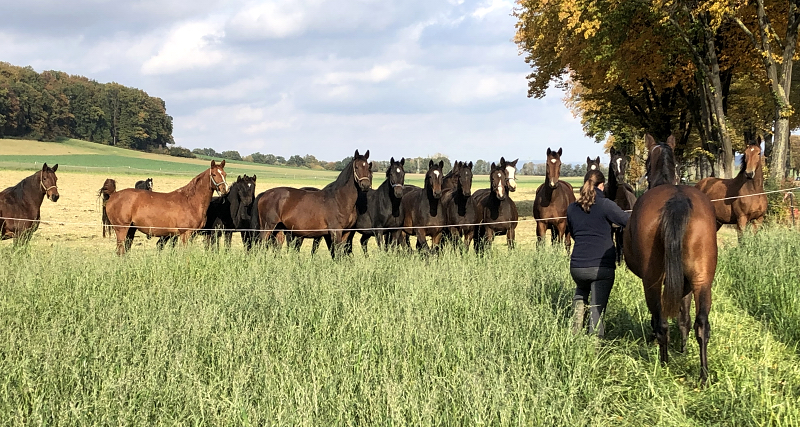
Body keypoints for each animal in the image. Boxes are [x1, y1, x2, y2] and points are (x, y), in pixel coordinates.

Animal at [101, 160, 230, 254]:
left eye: (224, 174)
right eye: (214, 174)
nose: (225, 190)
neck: (190, 201)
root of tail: (114, 194)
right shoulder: (185, 234)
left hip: (131, 229)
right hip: (121, 229)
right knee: (120, 251)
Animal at [624, 135, 720, 386]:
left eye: (647, 161)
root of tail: (677, 200)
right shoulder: (685, 285)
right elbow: (684, 318)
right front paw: (684, 350)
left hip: (652, 281)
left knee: (662, 324)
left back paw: (665, 364)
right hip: (702, 280)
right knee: (701, 324)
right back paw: (703, 375)